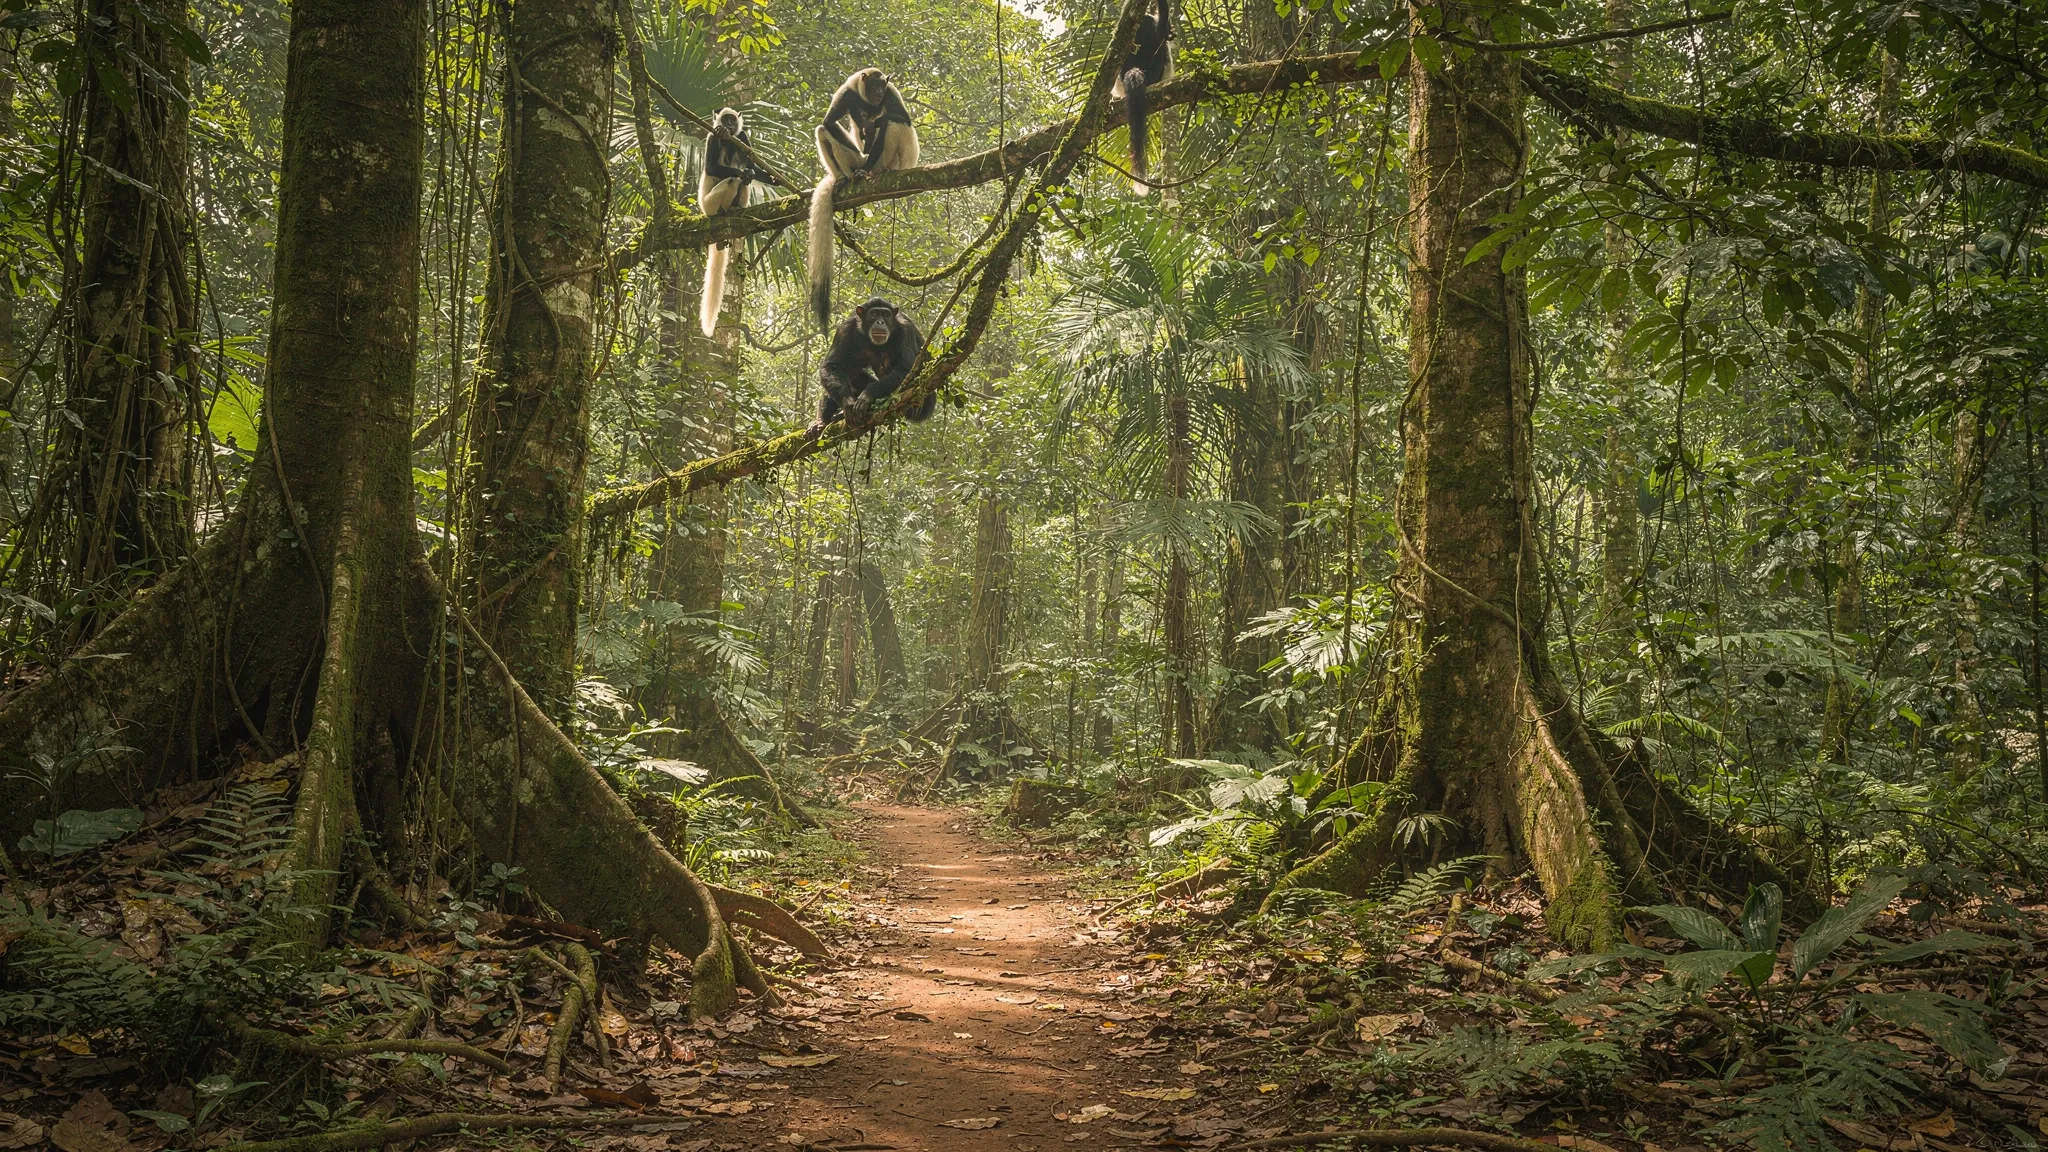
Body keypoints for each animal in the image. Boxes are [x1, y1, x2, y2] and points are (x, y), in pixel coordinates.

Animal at [699, 107, 779, 337]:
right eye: (725, 120)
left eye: (733, 120)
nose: (729, 126)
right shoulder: (712, 136)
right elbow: (711, 167)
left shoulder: (743, 137)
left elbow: (750, 163)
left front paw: (773, 177)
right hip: (709, 204)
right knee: (734, 179)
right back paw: (724, 211)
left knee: (745, 180)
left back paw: (737, 207)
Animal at [808, 69, 920, 332]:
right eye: (873, 87)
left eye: (882, 87)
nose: (878, 93)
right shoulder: (846, 91)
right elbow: (829, 120)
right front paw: (863, 124)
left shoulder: (890, 92)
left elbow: (899, 117)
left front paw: (872, 124)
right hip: (854, 159)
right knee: (823, 130)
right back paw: (845, 179)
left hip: (901, 158)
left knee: (894, 121)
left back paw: (876, 169)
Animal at [811, 297, 935, 431]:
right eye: (874, 314)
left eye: (886, 314)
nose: (880, 322)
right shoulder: (844, 329)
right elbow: (833, 366)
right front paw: (847, 403)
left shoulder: (905, 329)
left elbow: (906, 369)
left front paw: (867, 395)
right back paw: (821, 421)